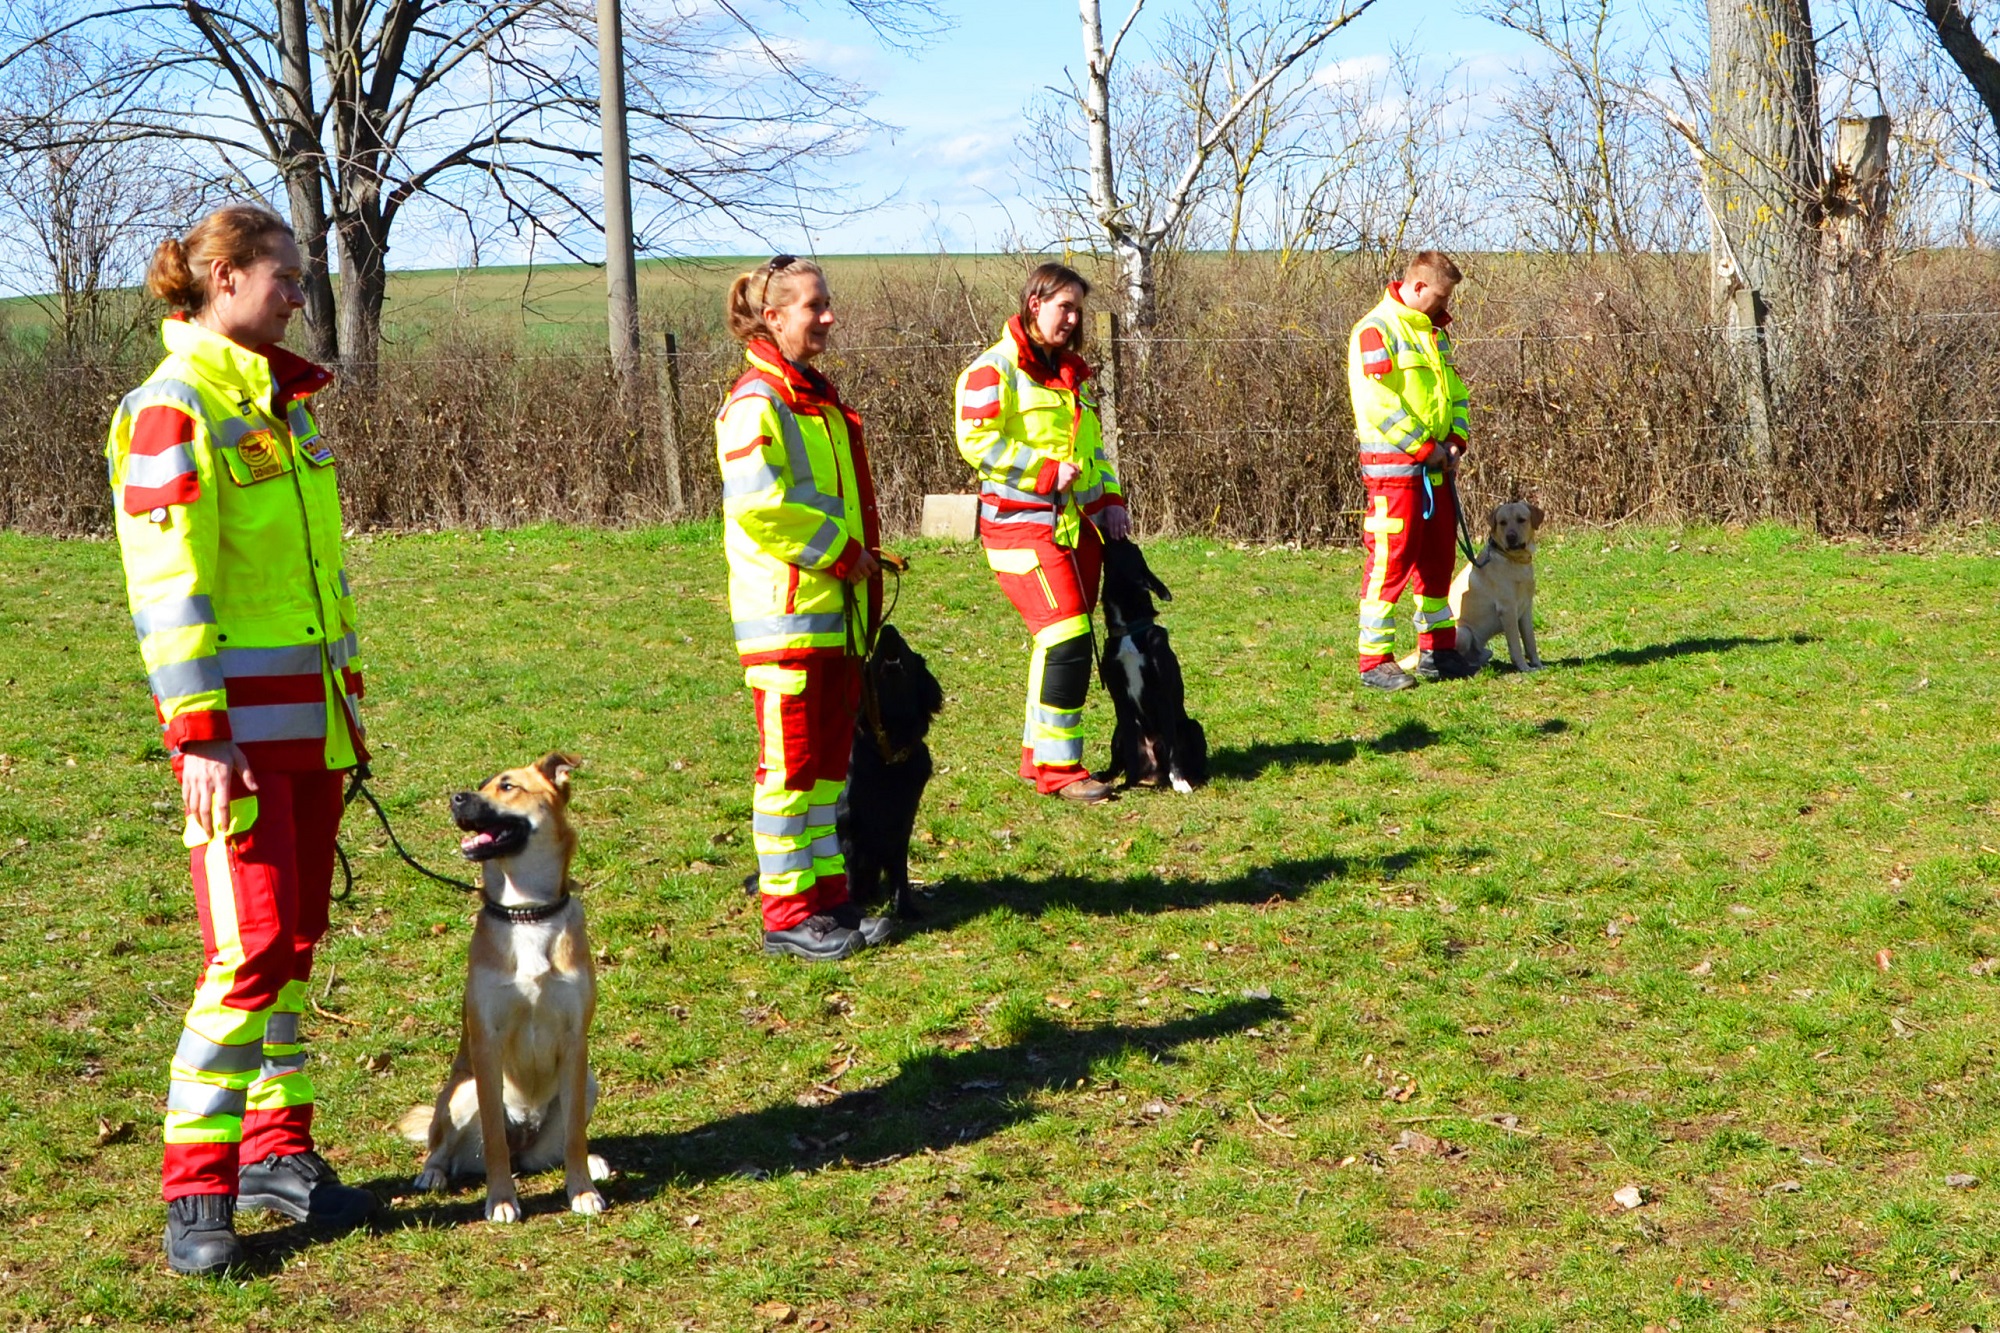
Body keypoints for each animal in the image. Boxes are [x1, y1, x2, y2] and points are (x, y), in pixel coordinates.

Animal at [394, 748, 604, 1216]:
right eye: (481, 784)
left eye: (507, 786)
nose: (455, 798)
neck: (527, 913)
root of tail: (524, 1137)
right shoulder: (486, 1042)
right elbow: (492, 1140)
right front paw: (501, 1200)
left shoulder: (575, 1039)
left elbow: (575, 1139)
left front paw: (581, 1190)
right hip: (461, 1091)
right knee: (443, 1147)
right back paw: (433, 1174)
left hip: (587, 1084)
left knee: (558, 1147)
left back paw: (595, 1163)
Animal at [836, 620, 944, 912]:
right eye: (872, 656)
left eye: (905, 645)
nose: (889, 629)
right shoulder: (849, 827)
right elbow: (847, 875)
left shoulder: (902, 825)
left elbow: (900, 872)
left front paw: (905, 909)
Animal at [1096, 536, 1200, 788]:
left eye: (1131, 548)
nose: (1123, 533)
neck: (1129, 628)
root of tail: (1153, 773)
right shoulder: (1119, 698)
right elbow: (1130, 754)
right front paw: (1128, 784)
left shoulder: (1162, 692)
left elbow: (1172, 746)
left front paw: (1179, 780)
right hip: (1118, 732)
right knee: (1118, 762)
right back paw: (1106, 776)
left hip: (1193, 727)